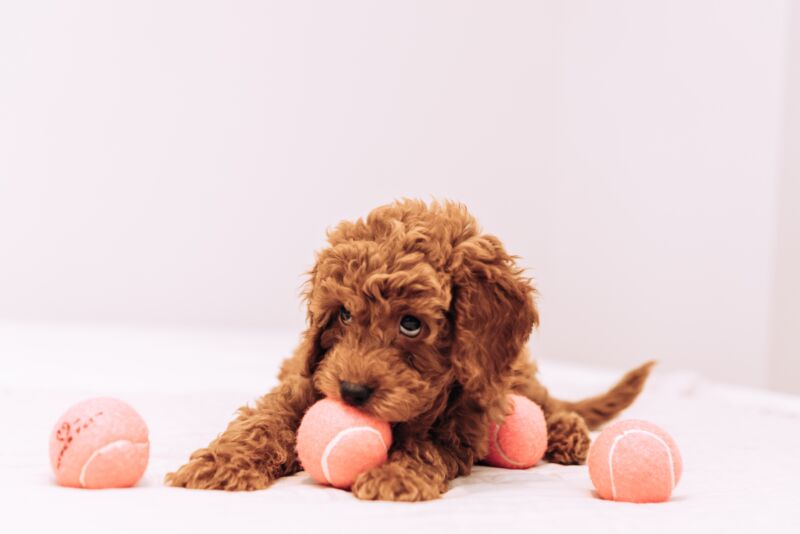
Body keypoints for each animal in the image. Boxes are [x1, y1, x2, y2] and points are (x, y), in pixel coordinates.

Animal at [166, 198, 652, 502]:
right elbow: (265, 421)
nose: (352, 392)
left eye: (411, 324)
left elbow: (428, 444)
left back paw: (567, 435)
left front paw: (395, 475)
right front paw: (220, 464)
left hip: (511, 377)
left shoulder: (463, 419)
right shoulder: (306, 379)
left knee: (549, 404)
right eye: (343, 315)